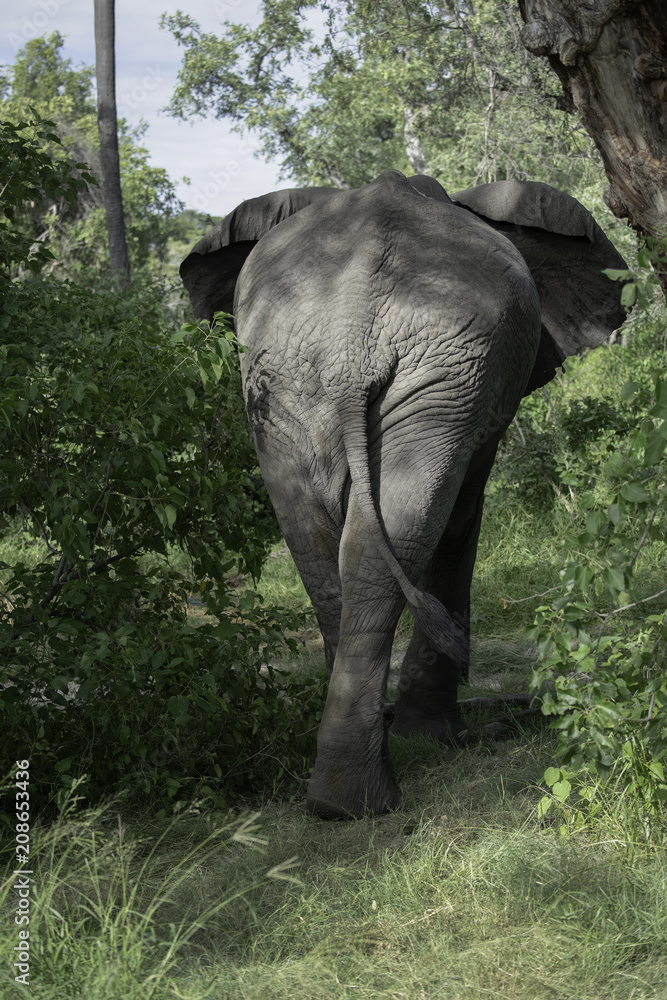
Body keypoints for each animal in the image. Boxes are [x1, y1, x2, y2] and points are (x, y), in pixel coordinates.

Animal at [181, 169, 626, 819]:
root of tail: (351, 334)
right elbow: (464, 511)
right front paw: (441, 737)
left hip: (308, 375)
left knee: (328, 547)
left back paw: (343, 800)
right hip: (419, 372)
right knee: (404, 527)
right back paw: (367, 792)